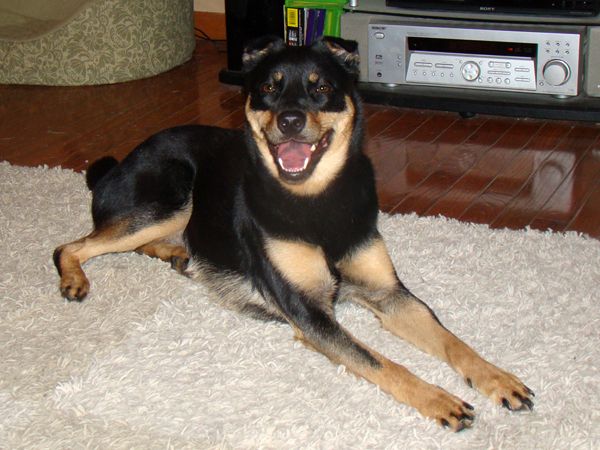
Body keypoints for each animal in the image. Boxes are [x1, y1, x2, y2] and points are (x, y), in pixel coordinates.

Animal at [54, 37, 532, 430]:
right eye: (269, 87)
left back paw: (175, 254)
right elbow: (382, 363)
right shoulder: (310, 313)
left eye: (321, 89)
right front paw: (438, 400)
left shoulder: (389, 295)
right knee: (71, 246)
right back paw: (76, 279)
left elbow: (453, 341)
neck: (315, 198)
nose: (289, 119)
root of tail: (117, 165)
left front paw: (497, 378)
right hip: (173, 197)